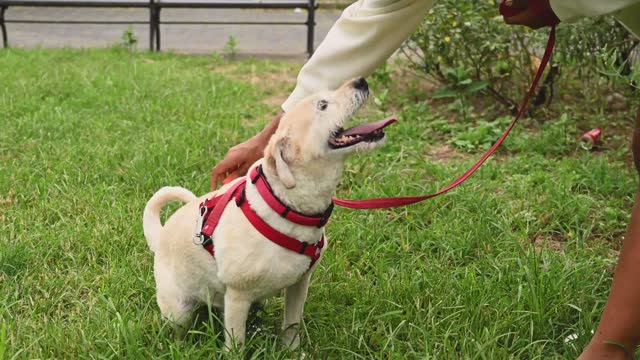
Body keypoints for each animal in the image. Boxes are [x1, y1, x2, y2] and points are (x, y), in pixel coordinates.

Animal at [142, 77, 396, 350]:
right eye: (323, 105)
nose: (361, 80)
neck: (287, 207)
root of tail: (159, 237)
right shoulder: (238, 296)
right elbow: (235, 344)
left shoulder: (299, 284)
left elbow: (291, 325)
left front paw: (292, 351)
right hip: (178, 311)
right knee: (178, 329)